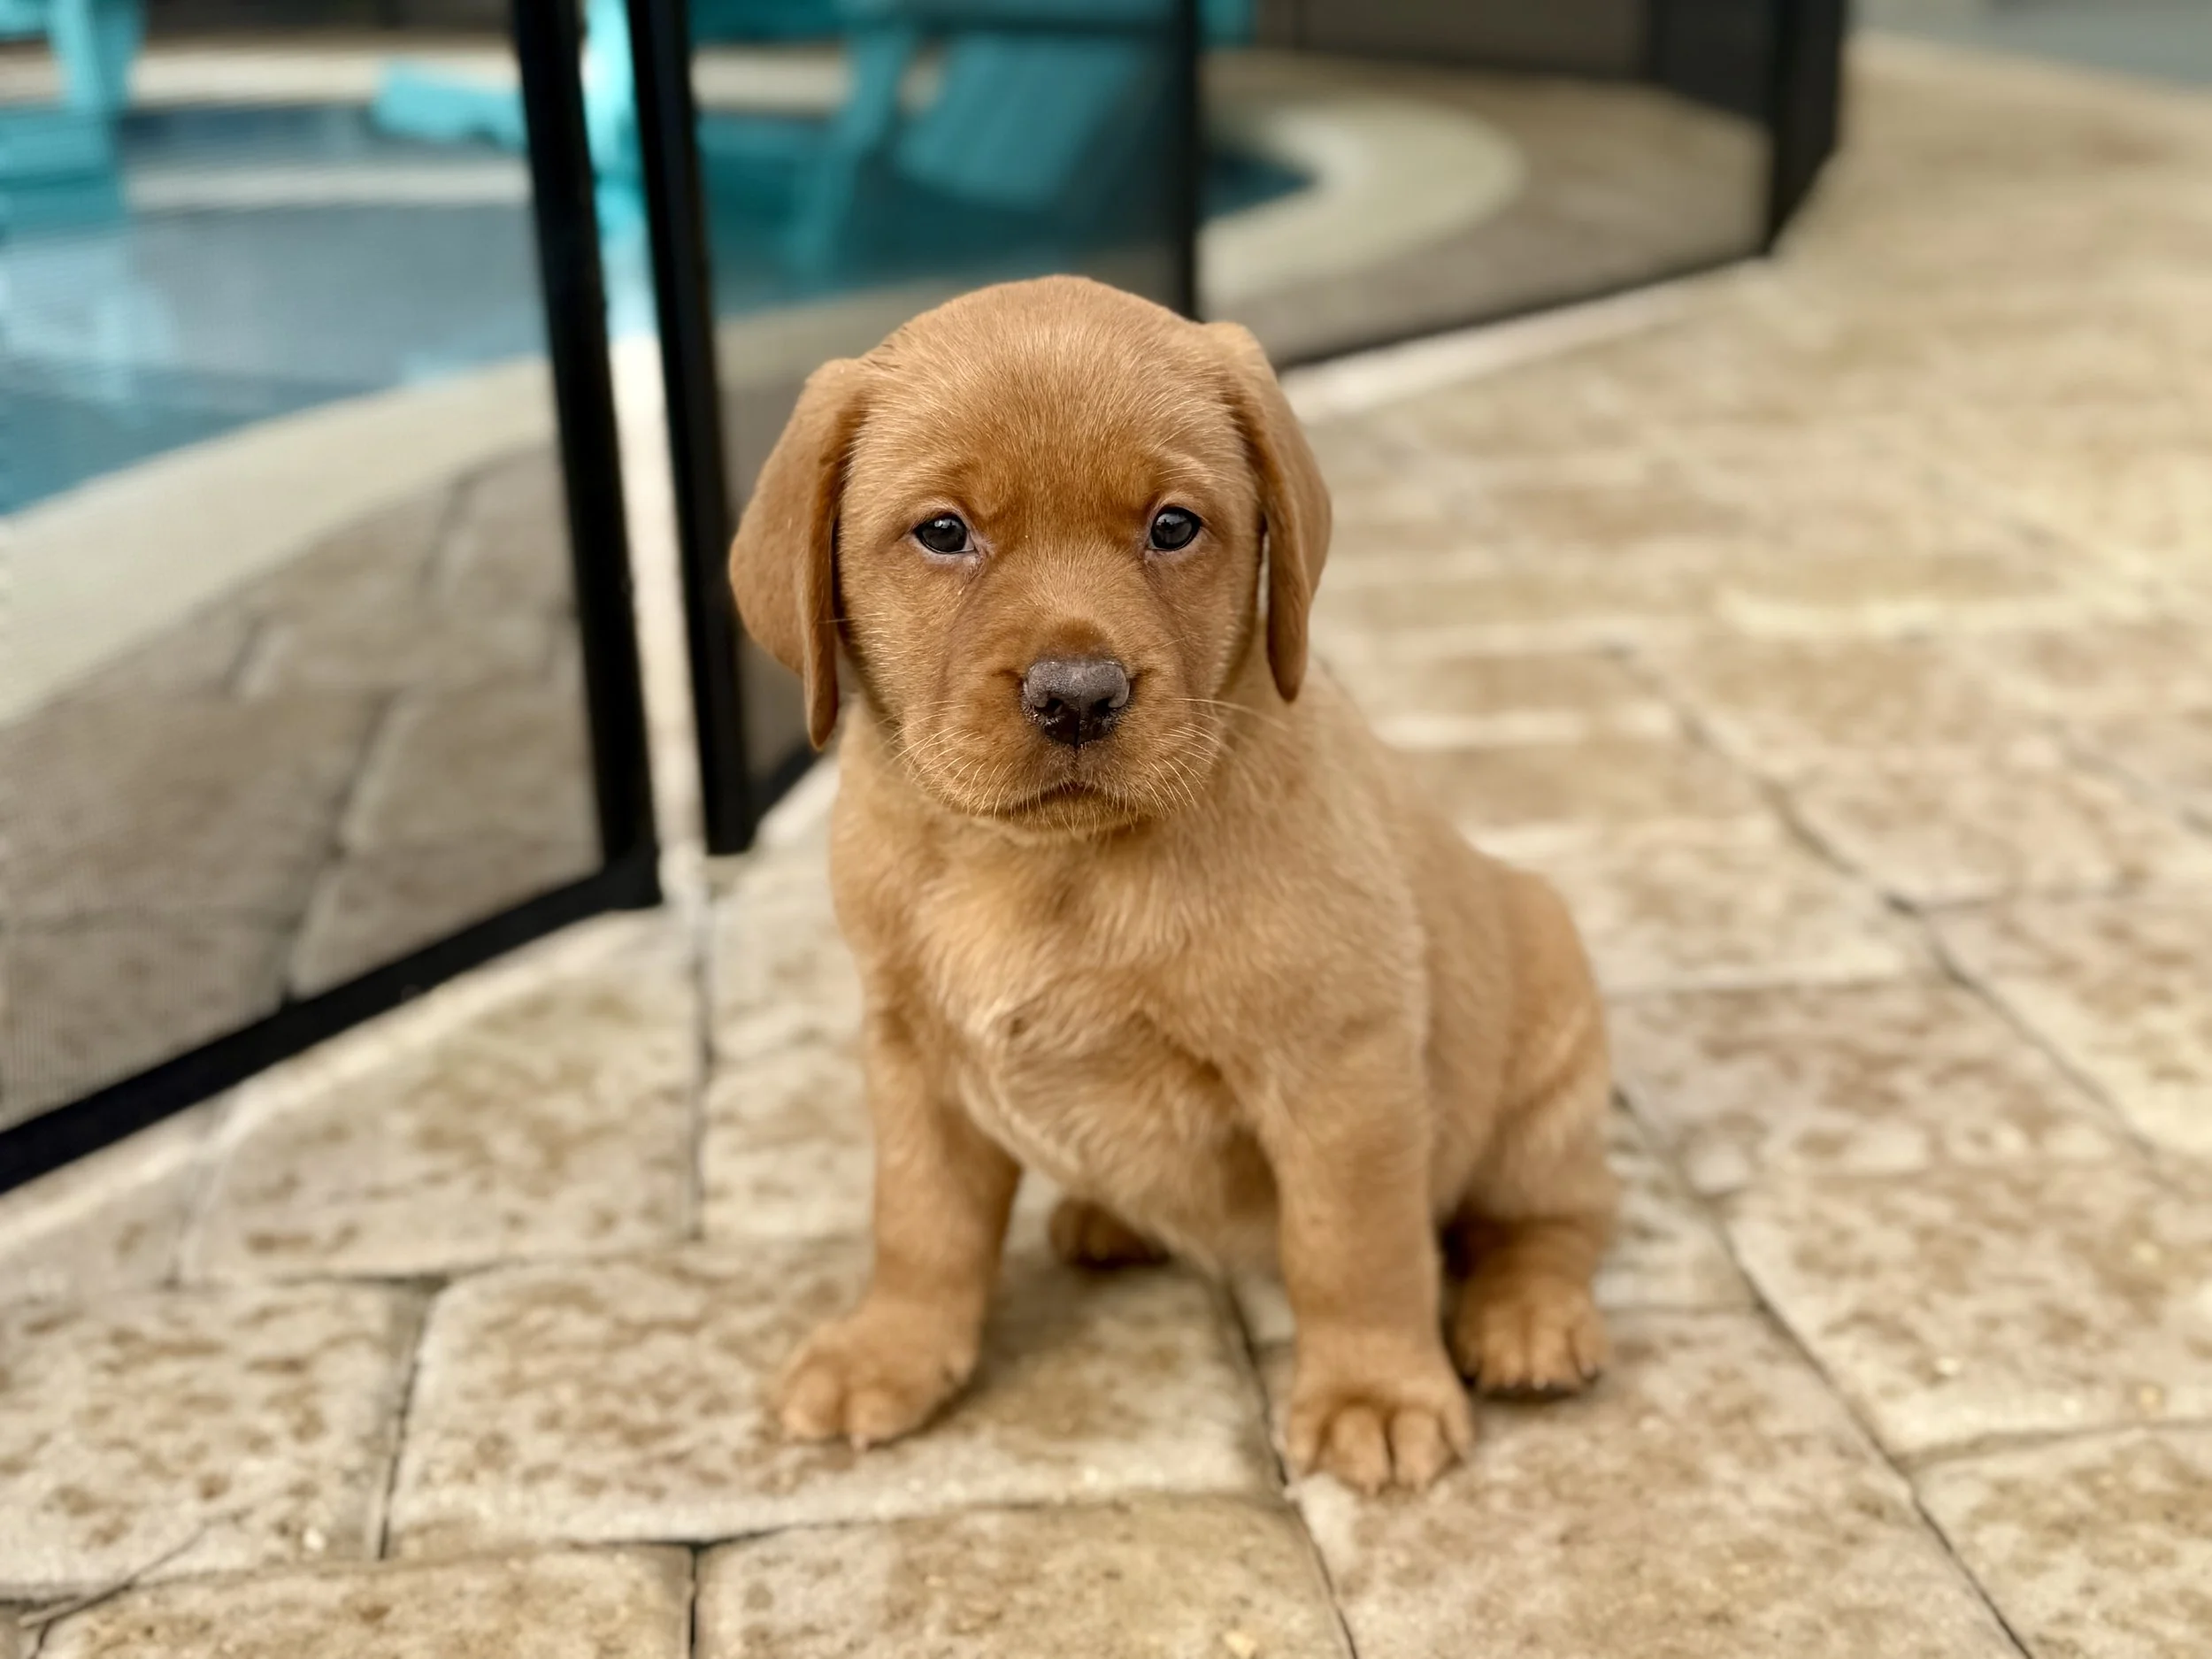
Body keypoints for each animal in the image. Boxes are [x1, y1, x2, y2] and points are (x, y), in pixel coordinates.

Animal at [728, 275, 1617, 1492]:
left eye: (1172, 526)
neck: (1045, 869)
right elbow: (919, 1224)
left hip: (1548, 1045)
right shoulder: (910, 1054)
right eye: (944, 533)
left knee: (1553, 1218)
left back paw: (1529, 1318)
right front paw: (890, 1350)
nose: (1077, 695)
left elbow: (1354, 1246)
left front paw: (1374, 1391)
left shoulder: (1339, 1065)